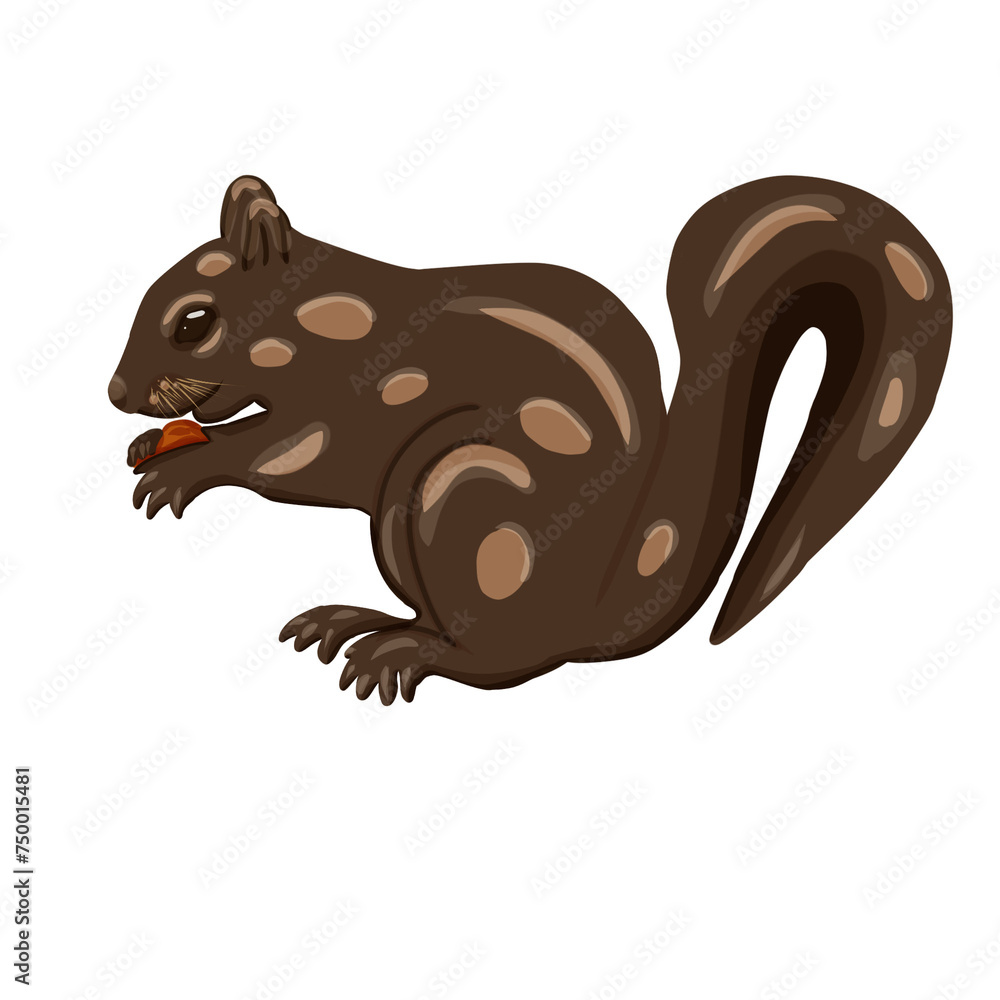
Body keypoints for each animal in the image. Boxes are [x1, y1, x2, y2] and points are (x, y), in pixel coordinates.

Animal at [110, 174, 951, 704]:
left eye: (194, 321)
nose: (117, 393)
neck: (330, 315)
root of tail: (597, 606)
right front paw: (155, 444)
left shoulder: (365, 401)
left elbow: (291, 457)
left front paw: (188, 466)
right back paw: (361, 623)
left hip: (463, 497)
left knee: (496, 660)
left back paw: (404, 652)